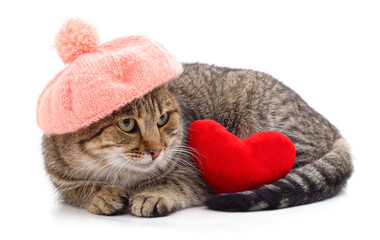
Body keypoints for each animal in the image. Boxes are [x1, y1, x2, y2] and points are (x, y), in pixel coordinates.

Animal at [42, 62, 354, 217]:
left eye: (163, 119)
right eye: (127, 124)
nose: (157, 150)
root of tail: (329, 125)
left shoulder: (192, 170)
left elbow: (176, 182)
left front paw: (155, 192)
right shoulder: (60, 179)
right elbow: (79, 189)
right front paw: (100, 194)